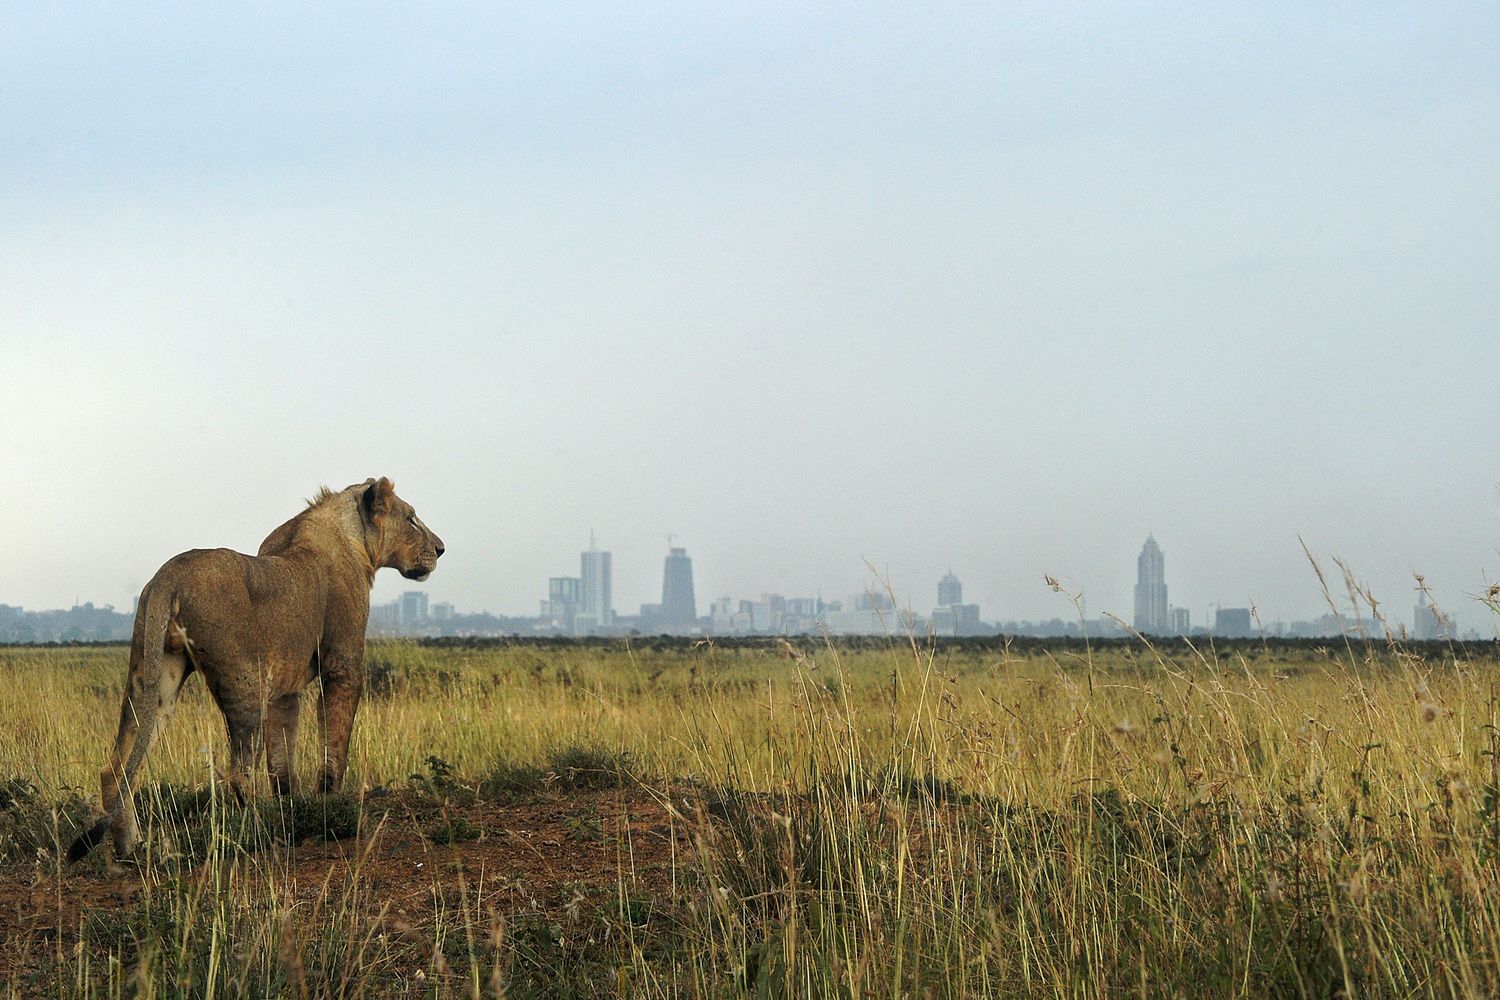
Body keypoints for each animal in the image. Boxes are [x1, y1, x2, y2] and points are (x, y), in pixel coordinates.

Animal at [67, 477, 444, 862]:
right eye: (411, 518)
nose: (441, 548)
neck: (350, 536)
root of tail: (168, 574)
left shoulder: (284, 691)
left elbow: (282, 761)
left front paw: (294, 810)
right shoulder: (343, 665)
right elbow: (334, 745)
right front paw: (332, 808)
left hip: (155, 677)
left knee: (118, 768)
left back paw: (133, 850)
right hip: (245, 682)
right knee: (237, 773)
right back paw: (263, 838)